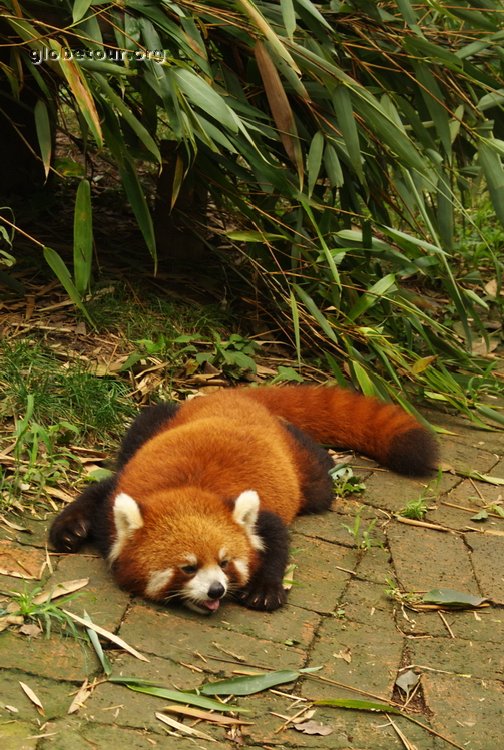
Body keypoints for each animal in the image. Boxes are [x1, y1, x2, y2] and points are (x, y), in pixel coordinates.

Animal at [50, 388, 438, 616]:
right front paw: (70, 529)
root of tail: (235, 398)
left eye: (225, 563)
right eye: (188, 568)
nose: (217, 589)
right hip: (155, 424)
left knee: (317, 478)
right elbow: (97, 493)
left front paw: (265, 589)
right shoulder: (126, 483)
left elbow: (275, 536)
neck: (188, 488)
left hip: (302, 466)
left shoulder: (257, 512)